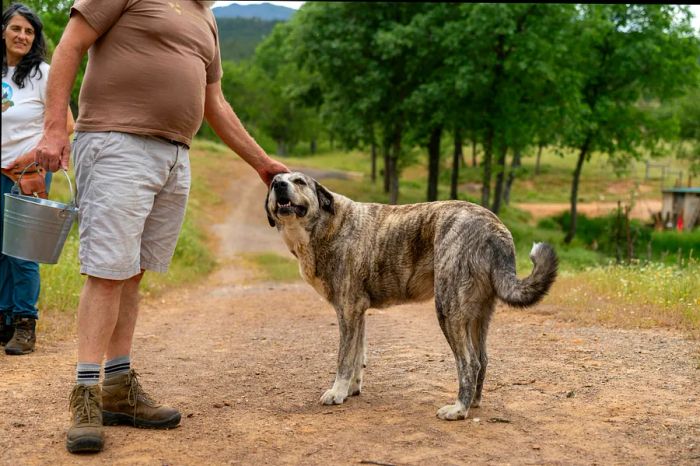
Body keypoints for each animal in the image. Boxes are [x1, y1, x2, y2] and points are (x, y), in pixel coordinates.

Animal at [264, 173, 556, 420]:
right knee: (482, 359)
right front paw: (351, 390)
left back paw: (458, 409)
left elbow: (344, 359)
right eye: (275, 181)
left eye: (299, 181)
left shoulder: (347, 310)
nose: (279, 185)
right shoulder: (358, 313)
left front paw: (337, 392)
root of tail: (495, 227)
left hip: (448, 309)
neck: (328, 224)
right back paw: (472, 401)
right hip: (478, 315)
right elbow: (358, 355)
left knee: (469, 363)